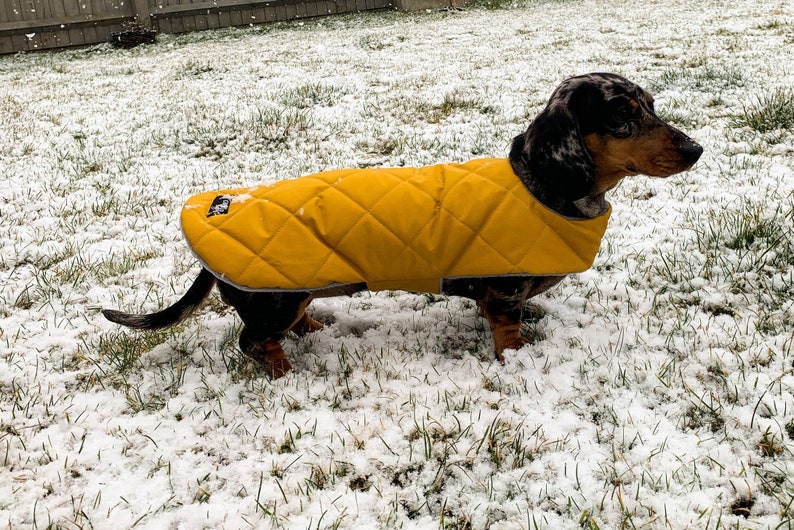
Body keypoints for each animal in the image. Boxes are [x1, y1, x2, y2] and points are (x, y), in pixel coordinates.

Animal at [103, 73, 700, 376]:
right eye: (622, 116)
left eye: (651, 105)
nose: (696, 149)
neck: (539, 186)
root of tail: (218, 211)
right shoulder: (503, 291)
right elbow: (507, 331)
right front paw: (518, 362)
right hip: (271, 298)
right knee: (252, 342)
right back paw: (286, 374)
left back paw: (316, 329)